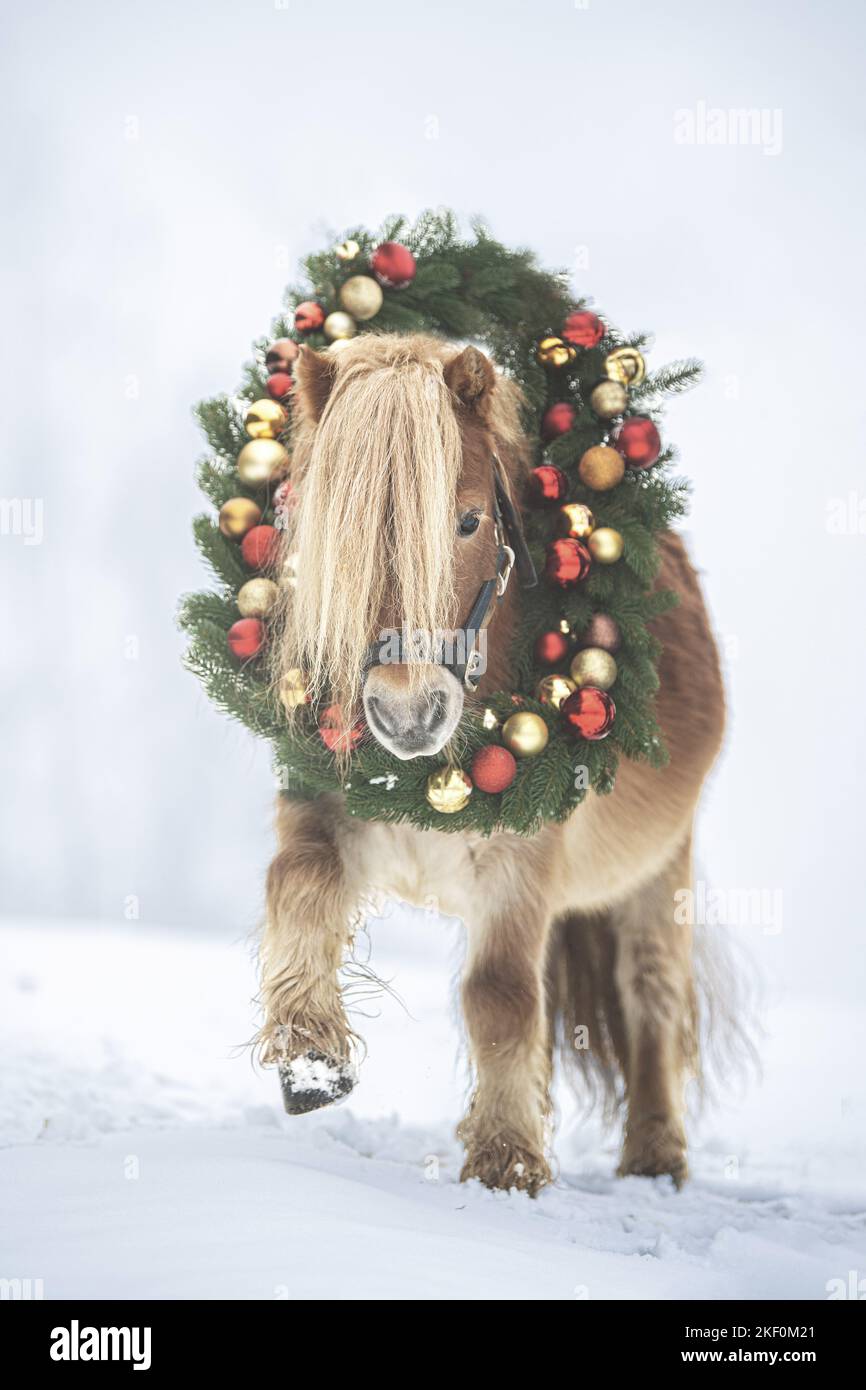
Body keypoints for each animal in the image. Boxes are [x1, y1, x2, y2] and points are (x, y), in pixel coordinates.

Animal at [258, 333, 725, 1194]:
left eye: (469, 519)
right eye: (331, 530)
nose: (408, 713)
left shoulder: (521, 860)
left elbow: (500, 996)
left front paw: (506, 1162)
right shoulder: (321, 803)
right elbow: (297, 886)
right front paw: (310, 1058)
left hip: (658, 870)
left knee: (652, 991)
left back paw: (653, 1158)